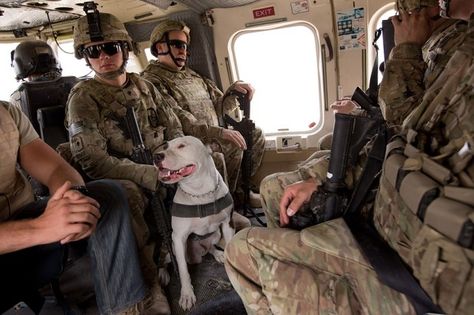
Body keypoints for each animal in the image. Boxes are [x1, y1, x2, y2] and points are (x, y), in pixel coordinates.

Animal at [156, 136, 235, 312]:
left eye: (181, 146)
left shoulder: (227, 225)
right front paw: (187, 295)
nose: (156, 156)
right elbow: (183, 270)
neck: (200, 192)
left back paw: (217, 253)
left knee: (210, 247)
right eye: (165, 146)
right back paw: (163, 274)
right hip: (169, 246)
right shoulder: (178, 238)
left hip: (216, 234)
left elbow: (229, 247)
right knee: (164, 261)